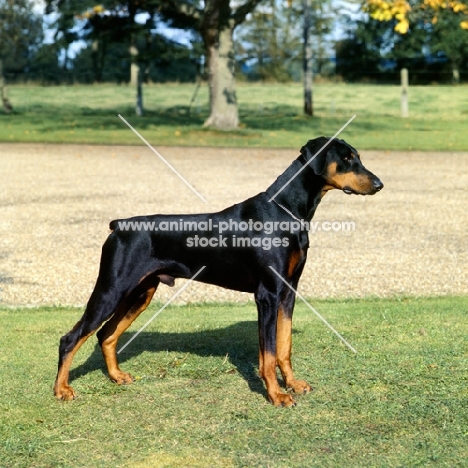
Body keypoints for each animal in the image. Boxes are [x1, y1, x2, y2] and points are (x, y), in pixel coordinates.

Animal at [55, 135, 384, 406]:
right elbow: (268, 354)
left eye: (357, 156)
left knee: (106, 334)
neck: (286, 211)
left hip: (140, 292)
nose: (379, 184)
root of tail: (118, 225)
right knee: (71, 339)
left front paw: (292, 384)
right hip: (111, 289)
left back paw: (116, 376)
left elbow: (284, 345)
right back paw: (62, 390)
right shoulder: (267, 294)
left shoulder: (288, 291)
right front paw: (276, 395)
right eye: (347, 158)